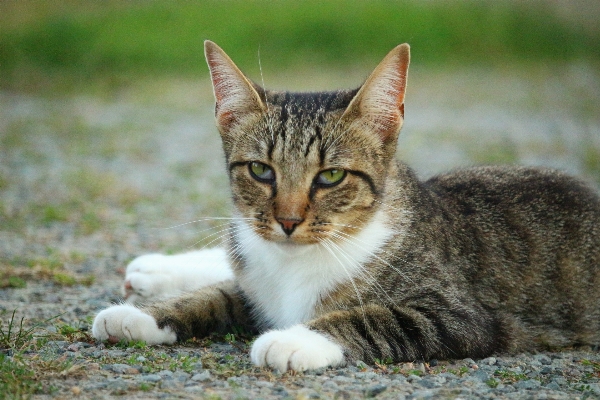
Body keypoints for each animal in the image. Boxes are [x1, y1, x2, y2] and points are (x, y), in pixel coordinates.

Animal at [90, 40, 600, 372]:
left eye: (331, 176)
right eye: (261, 170)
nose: (288, 220)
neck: (295, 263)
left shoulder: (462, 316)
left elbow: (376, 317)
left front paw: (295, 339)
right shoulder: (256, 287)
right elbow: (218, 295)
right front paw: (143, 316)